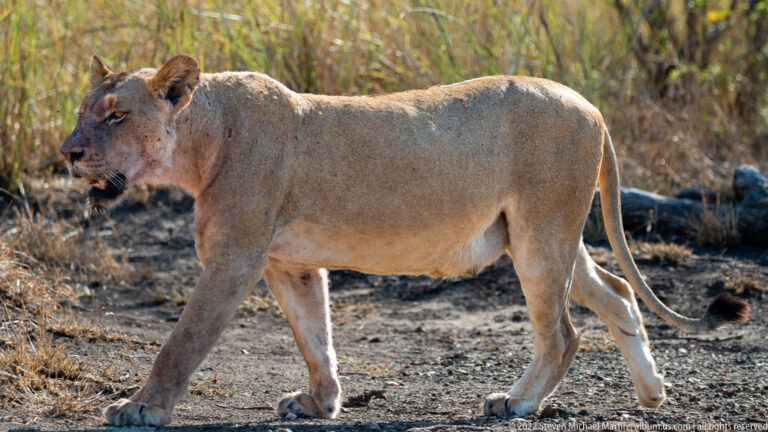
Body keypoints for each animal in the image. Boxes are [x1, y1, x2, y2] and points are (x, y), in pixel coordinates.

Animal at [59, 55, 750, 426]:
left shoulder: (233, 259)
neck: (203, 140)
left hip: (540, 233)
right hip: (549, 235)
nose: (68, 152)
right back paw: (652, 392)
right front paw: (321, 403)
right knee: (617, 293)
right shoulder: (287, 264)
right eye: (84, 112)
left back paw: (516, 402)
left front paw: (140, 409)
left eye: (117, 115)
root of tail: (593, 107)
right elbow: (315, 337)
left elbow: (181, 343)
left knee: (563, 332)